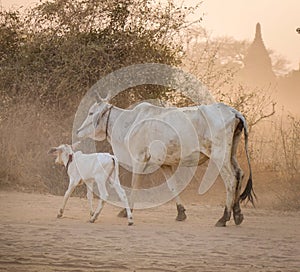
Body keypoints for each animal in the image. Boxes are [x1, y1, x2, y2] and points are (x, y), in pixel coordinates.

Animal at [76, 96, 254, 226]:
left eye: (91, 113)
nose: (78, 131)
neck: (129, 122)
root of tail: (233, 111)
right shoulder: (165, 164)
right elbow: (173, 187)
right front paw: (181, 212)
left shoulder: (139, 159)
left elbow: (134, 185)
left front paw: (126, 211)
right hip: (231, 154)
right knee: (240, 174)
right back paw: (238, 215)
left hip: (219, 156)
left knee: (231, 180)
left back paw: (224, 218)